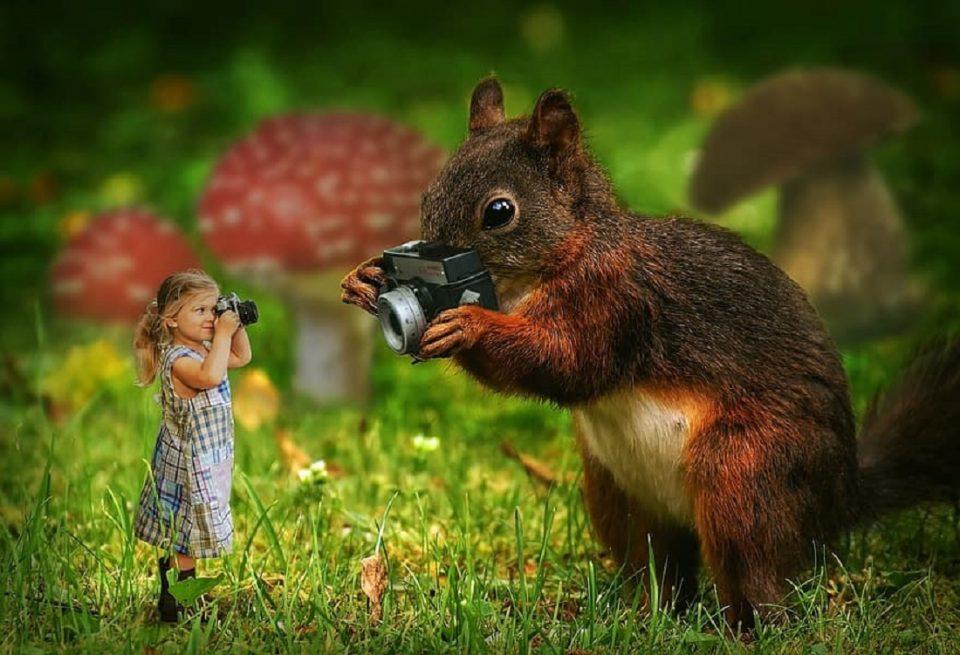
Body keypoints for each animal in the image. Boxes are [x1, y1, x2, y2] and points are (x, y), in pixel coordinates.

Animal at [341, 77, 960, 631]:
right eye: (428, 194)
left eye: (499, 211)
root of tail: (840, 497)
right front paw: (365, 279)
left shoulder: (616, 300)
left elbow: (567, 362)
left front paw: (467, 326)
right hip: (615, 491)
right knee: (657, 567)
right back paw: (640, 615)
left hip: (746, 471)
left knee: (759, 572)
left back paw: (746, 628)